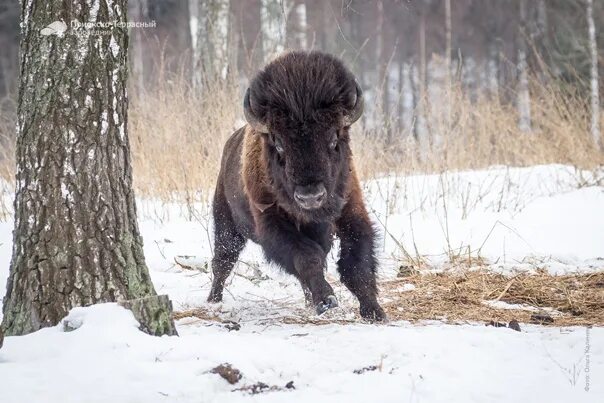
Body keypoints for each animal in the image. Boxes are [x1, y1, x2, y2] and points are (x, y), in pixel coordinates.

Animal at [208, 50, 386, 322]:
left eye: (333, 138)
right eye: (279, 143)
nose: (310, 196)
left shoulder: (351, 210)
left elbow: (356, 262)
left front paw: (374, 310)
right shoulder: (272, 225)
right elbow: (307, 258)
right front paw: (327, 299)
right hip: (227, 224)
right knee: (222, 261)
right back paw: (213, 302)